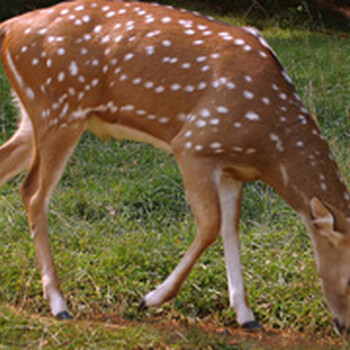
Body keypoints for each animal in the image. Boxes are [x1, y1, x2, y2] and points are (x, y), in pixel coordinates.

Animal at [0, 0, 350, 334]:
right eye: (349, 281)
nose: (343, 326)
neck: (267, 147)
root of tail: (9, 26)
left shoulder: (232, 171)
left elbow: (231, 228)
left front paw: (246, 315)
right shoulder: (195, 145)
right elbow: (210, 225)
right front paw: (150, 298)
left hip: (34, 118)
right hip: (59, 110)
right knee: (33, 193)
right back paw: (58, 303)